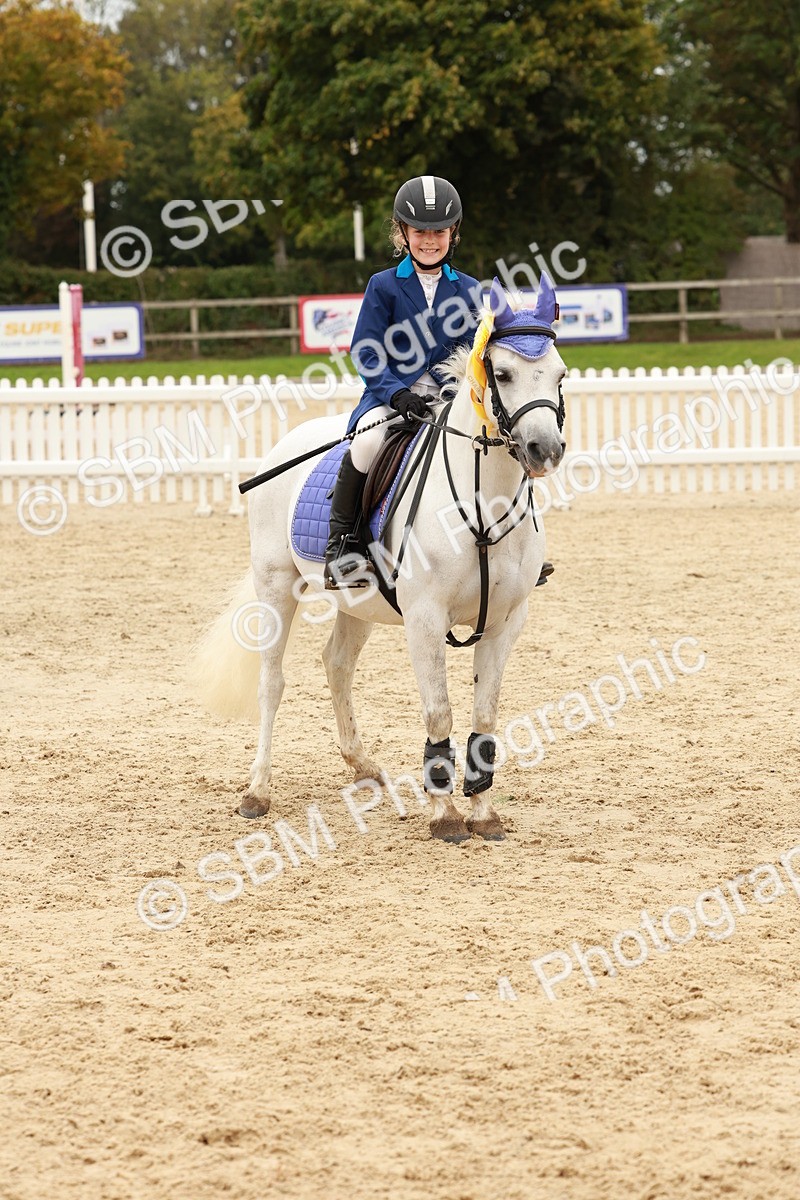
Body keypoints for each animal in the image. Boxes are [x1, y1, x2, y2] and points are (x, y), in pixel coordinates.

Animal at [194, 275, 567, 843]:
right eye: (503, 374)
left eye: (560, 374)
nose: (545, 451)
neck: (483, 504)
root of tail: (291, 441)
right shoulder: (424, 619)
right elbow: (439, 714)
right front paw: (445, 816)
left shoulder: (506, 621)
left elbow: (484, 715)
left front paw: (484, 814)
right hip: (275, 586)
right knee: (271, 682)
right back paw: (257, 790)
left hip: (357, 602)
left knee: (337, 664)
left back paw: (362, 766)